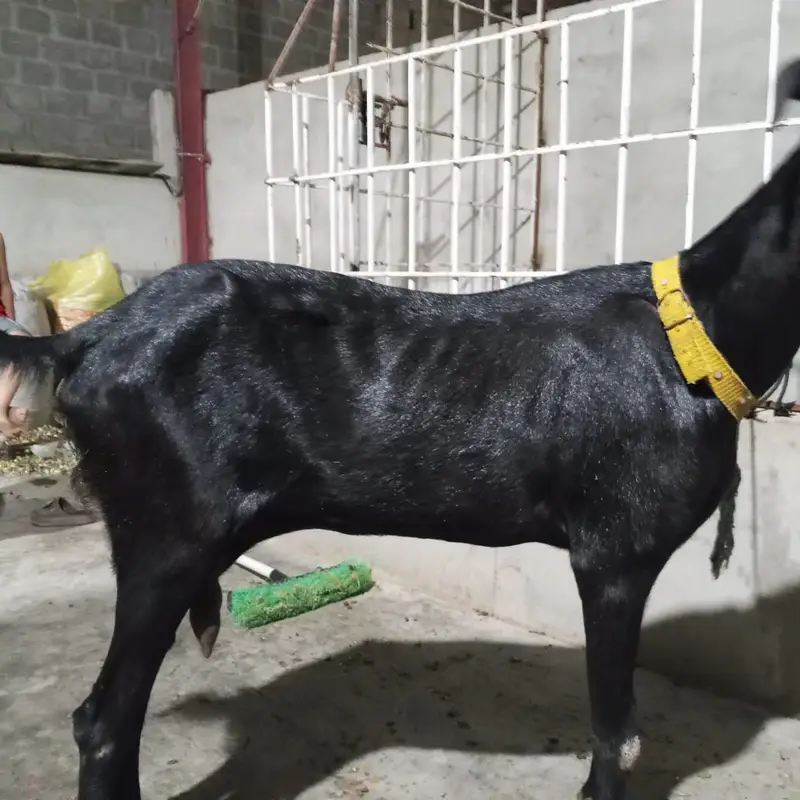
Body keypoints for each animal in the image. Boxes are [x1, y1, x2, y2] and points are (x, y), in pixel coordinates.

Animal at [4, 60, 800, 800]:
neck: (698, 337)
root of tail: (82, 341)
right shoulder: (612, 553)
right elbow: (617, 733)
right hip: (168, 532)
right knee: (104, 720)